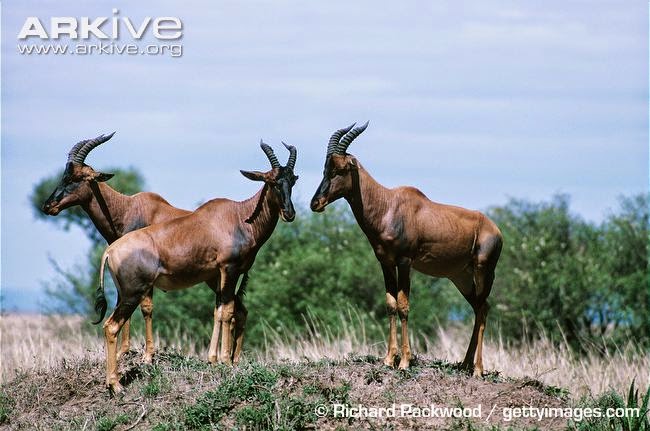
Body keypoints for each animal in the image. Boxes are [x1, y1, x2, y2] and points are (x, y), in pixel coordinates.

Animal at [41, 134, 248, 364]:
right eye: (64, 176)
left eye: (77, 178)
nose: (48, 206)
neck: (128, 209)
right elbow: (123, 304)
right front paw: (123, 352)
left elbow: (145, 307)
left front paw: (145, 354)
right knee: (241, 309)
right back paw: (233, 358)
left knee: (236, 309)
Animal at [93, 142, 296, 394]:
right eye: (272, 181)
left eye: (293, 179)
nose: (289, 213)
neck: (239, 216)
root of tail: (110, 251)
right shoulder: (228, 270)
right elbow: (228, 312)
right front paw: (226, 361)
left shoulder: (219, 275)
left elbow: (219, 311)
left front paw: (214, 359)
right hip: (132, 293)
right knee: (111, 326)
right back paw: (116, 385)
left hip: (126, 293)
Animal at [308, 123, 502, 376]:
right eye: (324, 169)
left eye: (339, 170)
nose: (315, 203)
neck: (388, 205)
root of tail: (495, 229)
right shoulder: (385, 262)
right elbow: (390, 305)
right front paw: (389, 359)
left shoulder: (405, 262)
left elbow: (403, 306)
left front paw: (405, 362)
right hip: (460, 277)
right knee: (479, 307)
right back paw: (465, 364)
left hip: (484, 271)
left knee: (484, 309)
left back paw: (478, 369)